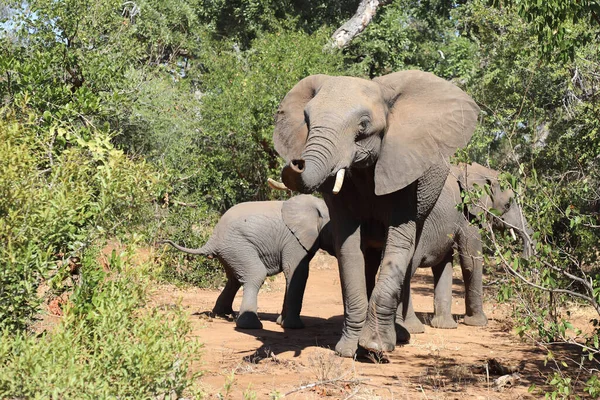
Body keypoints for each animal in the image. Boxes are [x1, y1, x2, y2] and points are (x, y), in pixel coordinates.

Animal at [162, 195, 336, 330]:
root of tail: (213, 239)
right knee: (255, 275)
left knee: (233, 280)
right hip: (238, 246)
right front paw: (294, 327)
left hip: (232, 251)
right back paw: (251, 325)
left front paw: (281, 323)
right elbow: (296, 274)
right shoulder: (294, 241)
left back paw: (223, 314)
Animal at [270, 70, 478, 354]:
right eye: (307, 119)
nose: (296, 162)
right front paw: (349, 350)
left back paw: (401, 335)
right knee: (369, 257)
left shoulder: (404, 169)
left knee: (410, 253)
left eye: (363, 125)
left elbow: (398, 244)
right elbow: (348, 247)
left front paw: (375, 346)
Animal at [398, 162, 536, 334]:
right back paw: (412, 328)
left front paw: (446, 326)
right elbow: (471, 261)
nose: (521, 261)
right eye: (507, 205)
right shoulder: (468, 216)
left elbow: (444, 264)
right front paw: (479, 323)